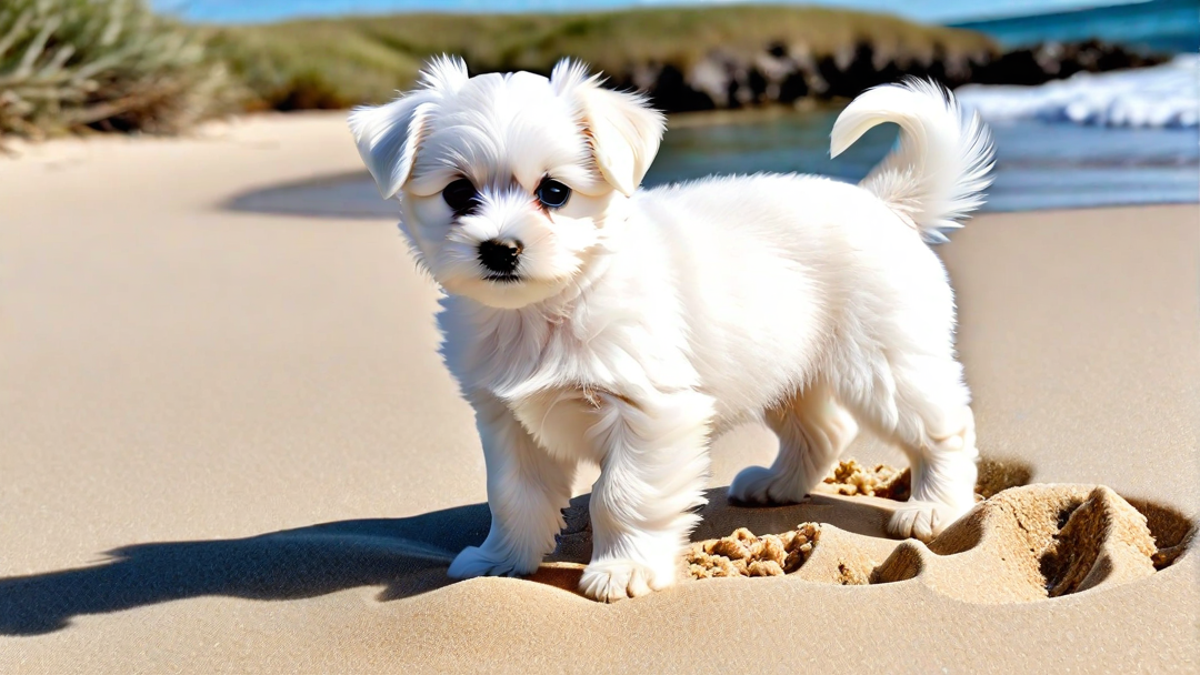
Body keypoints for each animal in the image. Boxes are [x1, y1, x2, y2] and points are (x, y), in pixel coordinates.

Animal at [348, 53, 993, 598]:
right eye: (458, 193)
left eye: (554, 192)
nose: (500, 249)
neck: (549, 306)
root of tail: (883, 203)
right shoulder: (507, 420)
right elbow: (513, 497)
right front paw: (501, 560)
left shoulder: (652, 412)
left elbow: (621, 494)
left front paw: (623, 568)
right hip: (787, 368)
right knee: (825, 429)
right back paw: (778, 484)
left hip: (885, 364)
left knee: (946, 427)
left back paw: (935, 507)